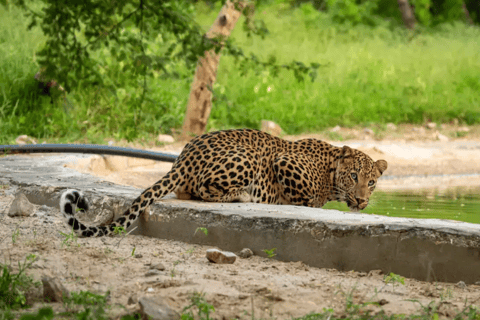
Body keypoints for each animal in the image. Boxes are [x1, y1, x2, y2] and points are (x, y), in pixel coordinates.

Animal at [62, 129, 388, 236]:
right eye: (354, 176)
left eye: (372, 182)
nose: (362, 200)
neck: (330, 170)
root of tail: (183, 157)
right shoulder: (283, 160)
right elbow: (307, 198)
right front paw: (309, 202)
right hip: (249, 157)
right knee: (205, 189)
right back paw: (242, 195)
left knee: (189, 191)